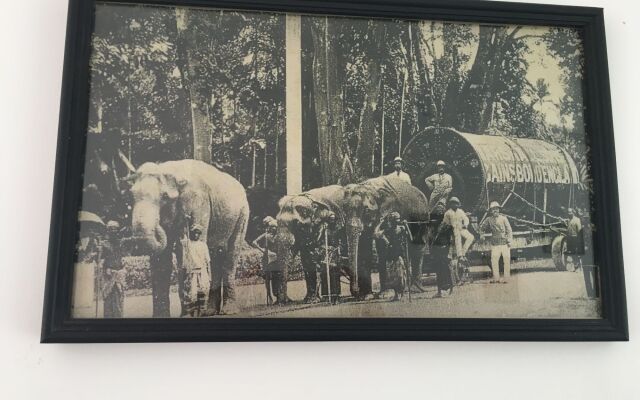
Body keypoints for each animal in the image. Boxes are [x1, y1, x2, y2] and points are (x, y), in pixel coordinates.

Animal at [129, 159, 249, 316]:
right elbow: (161, 262)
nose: (159, 225)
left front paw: (186, 314)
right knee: (214, 256)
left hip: (242, 214)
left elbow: (184, 254)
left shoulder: (198, 204)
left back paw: (228, 311)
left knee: (230, 257)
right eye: (131, 196)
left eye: (165, 197)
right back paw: (210, 312)